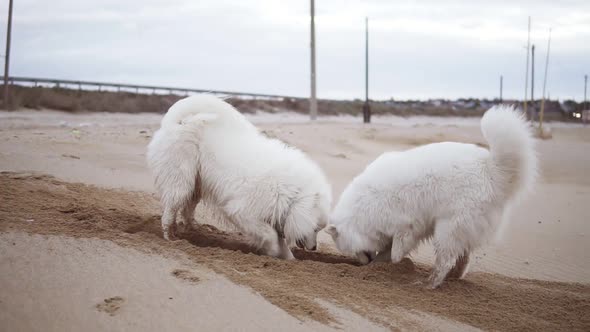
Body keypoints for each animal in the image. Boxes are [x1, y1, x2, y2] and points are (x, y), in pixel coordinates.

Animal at [147, 94, 332, 260]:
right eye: (316, 228)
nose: (314, 248)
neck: (292, 194)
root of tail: (178, 120)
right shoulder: (242, 212)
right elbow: (270, 235)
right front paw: (272, 251)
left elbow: (281, 242)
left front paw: (289, 260)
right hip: (181, 181)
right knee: (171, 209)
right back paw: (170, 237)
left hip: (197, 183)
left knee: (187, 209)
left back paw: (195, 230)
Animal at [326, 106, 540, 288]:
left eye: (352, 250)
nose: (362, 263)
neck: (362, 209)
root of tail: (491, 168)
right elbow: (388, 249)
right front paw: (379, 264)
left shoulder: (406, 225)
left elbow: (396, 250)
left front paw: (391, 263)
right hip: (459, 229)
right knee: (463, 257)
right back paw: (454, 277)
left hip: (448, 228)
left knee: (445, 261)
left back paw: (430, 283)